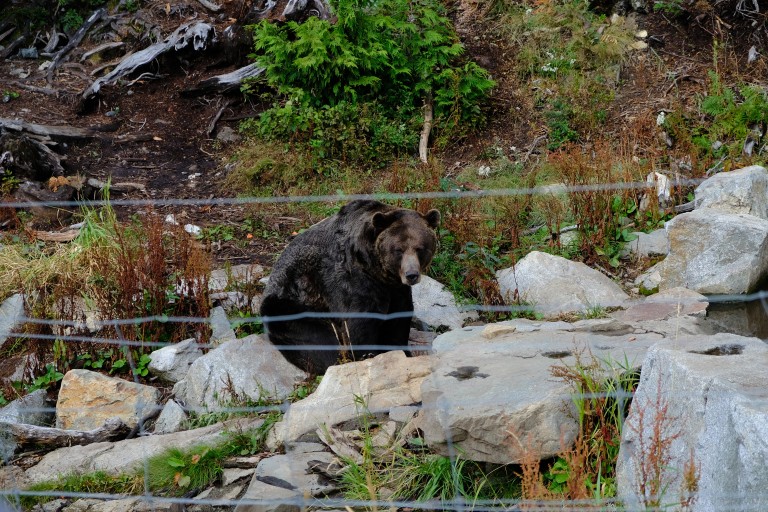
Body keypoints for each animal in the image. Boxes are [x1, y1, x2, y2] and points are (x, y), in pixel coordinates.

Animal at [260, 202, 438, 374]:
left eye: (420, 248)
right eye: (398, 250)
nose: (411, 275)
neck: (376, 270)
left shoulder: (396, 289)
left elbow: (398, 319)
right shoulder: (351, 281)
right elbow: (358, 325)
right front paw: (367, 356)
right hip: (292, 304)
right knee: (319, 341)